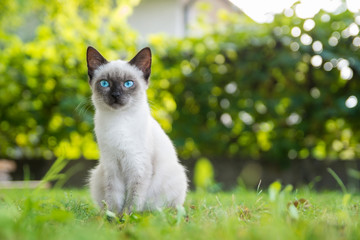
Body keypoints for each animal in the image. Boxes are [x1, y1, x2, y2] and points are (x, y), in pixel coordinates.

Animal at [87, 45, 188, 214]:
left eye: (128, 84)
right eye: (105, 83)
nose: (115, 95)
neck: (119, 122)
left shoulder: (138, 167)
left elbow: (132, 200)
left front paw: (128, 217)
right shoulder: (112, 166)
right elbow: (115, 199)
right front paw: (112, 217)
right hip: (98, 174)